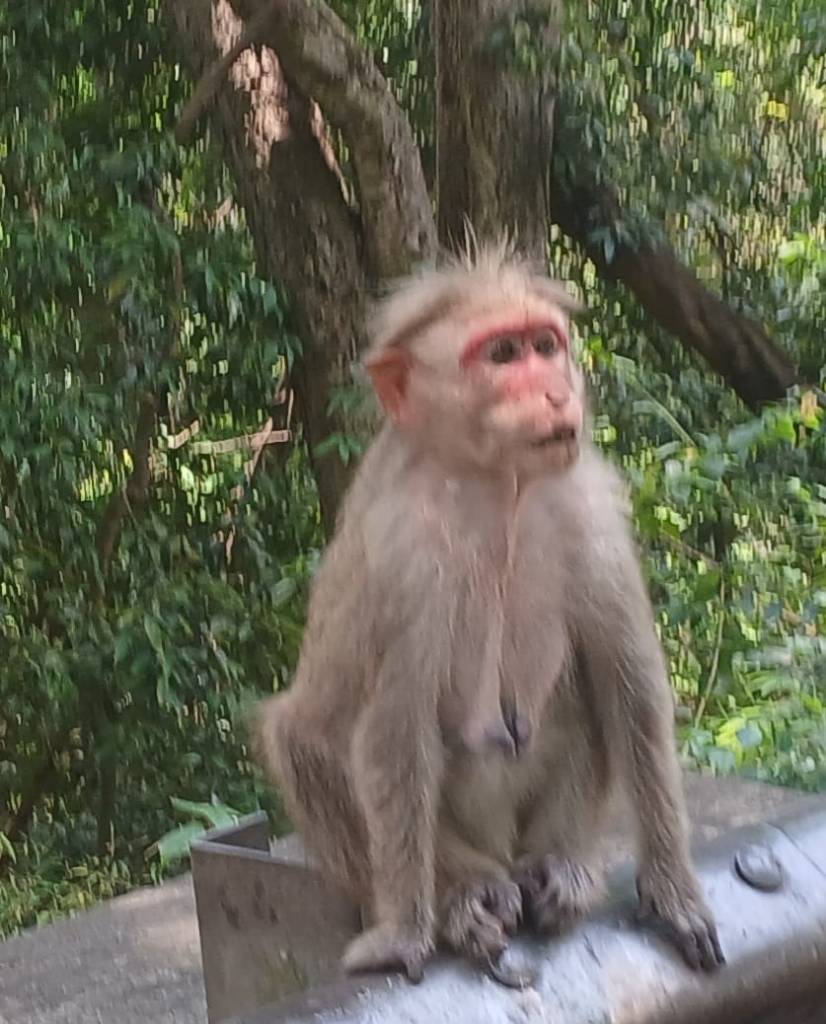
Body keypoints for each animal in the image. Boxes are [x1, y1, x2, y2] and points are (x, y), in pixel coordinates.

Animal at [254, 241, 724, 985]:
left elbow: (629, 685)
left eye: (544, 345)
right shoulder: (403, 552)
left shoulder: (589, 503)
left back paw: (560, 864)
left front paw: (673, 891)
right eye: (502, 355)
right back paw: (464, 890)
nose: (557, 391)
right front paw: (407, 933)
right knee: (305, 738)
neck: (496, 484)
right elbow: (389, 732)